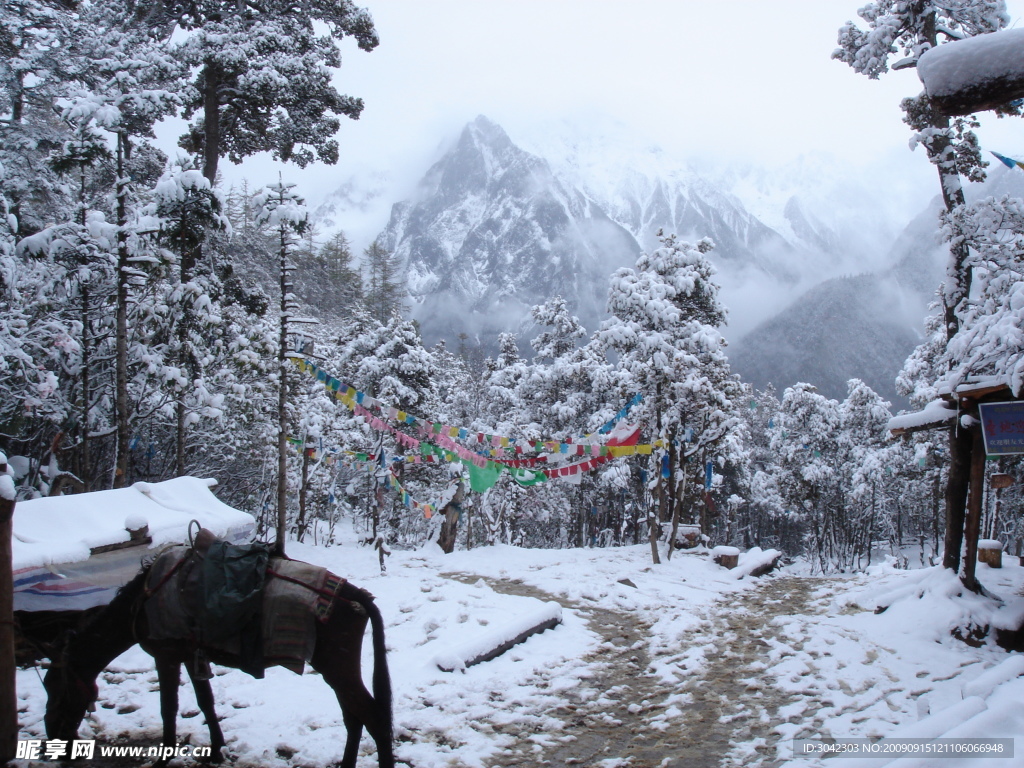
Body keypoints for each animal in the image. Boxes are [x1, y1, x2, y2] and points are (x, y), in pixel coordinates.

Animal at [40, 561, 391, 768]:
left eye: (54, 685)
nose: (53, 740)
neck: (141, 604)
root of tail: (358, 596)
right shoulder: (193, 657)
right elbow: (205, 702)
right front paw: (218, 749)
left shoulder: (166, 656)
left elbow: (169, 708)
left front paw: (164, 758)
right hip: (338, 671)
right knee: (354, 717)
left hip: (337, 668)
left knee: (372, 716)